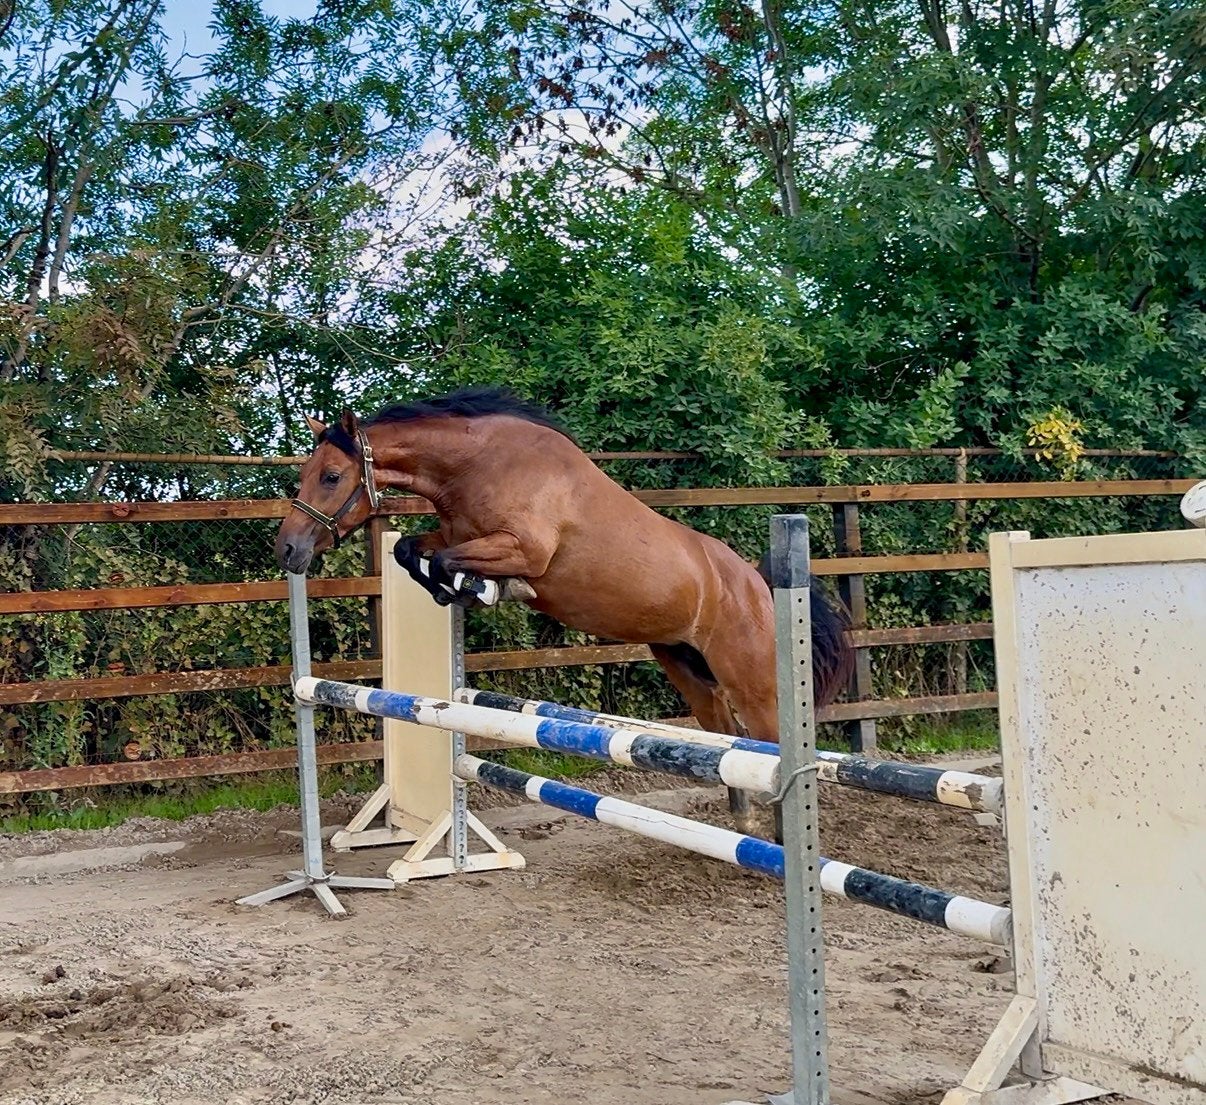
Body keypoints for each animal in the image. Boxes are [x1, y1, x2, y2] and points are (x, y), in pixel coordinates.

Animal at [274, 388, 853, 834]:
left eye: (330, 476)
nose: (287, 551)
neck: (476, 465)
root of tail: (755, 582)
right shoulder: (458, 535)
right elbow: (413, 552)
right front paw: (457, 590)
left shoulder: (522, 549)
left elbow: (444, 560)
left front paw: (487, 590)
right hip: (682, 660)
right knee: (722, 732)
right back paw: (741, 824)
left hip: (748, 673)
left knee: (770, 742)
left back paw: (781, 840)